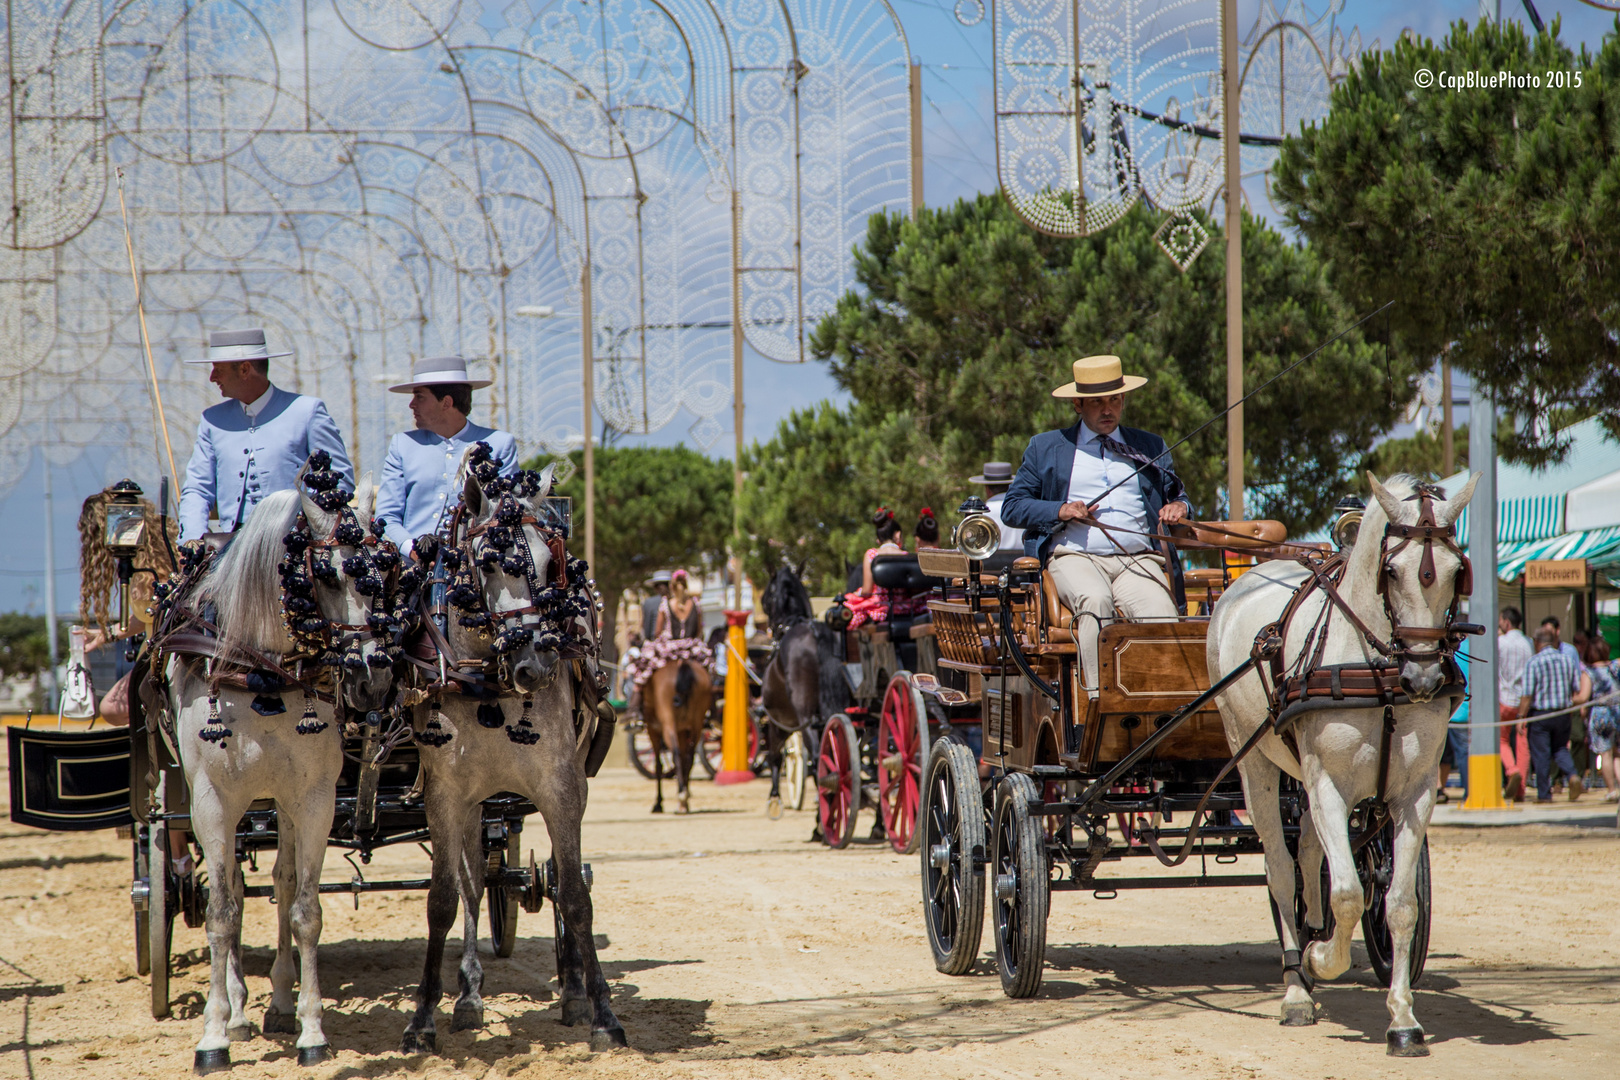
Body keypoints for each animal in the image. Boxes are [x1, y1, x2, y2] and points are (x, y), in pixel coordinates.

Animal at [165, 479, 395, 1075]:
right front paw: (213, 1035)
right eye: (328, 575)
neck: (260, 671)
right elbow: (222, 913)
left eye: (384, 573)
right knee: (235, 889)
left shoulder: (313, 799)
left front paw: (312, 1029)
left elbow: (305, 911)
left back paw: (281, 1005)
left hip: (283, 805)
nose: (374, 677)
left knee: (283, 881)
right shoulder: (212, 803)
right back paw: (238, 1013)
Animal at [403, 453, 625, 1049]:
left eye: (551, 566)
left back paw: (572, 991)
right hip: (474, 802)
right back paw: (468, 995)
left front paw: (602, 1013)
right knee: (475, 884)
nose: (535, 663)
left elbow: (574, 896)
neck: (488, 685)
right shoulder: (445, 796)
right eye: (487, 563)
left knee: (555, 881)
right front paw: (424, 1017)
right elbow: (444, 899)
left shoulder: (561, 789)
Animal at [648, 654, 712, 816]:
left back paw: (681, 797)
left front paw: (658, 803)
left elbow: (659, 766)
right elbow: (683, 761)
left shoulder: (653, 731)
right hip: (696, 725)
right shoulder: (683, 732)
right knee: (689, 758)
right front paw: (684, 800)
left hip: (669, 725)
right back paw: (684, 799)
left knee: (676, 755)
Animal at [761, 566, 855, 819]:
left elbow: (775, 757)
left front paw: (774, 799)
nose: (771, 629)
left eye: (766, 599)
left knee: (816, 760)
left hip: (805, 720)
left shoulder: (779, 723)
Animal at [1205, 472, 1483, 1055]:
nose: (1423, 679)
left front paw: (1403, 1019)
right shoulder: (1329, 785)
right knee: (1280, 867)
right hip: (1256, 763)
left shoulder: (1414, 793)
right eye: (1392, 571)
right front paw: (1318, 960)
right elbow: (1351, 893)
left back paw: (1312, 934)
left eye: (1455, 571)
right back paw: (1296, 983)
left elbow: (1398, 903)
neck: (1376, 667)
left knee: (1309, 855)